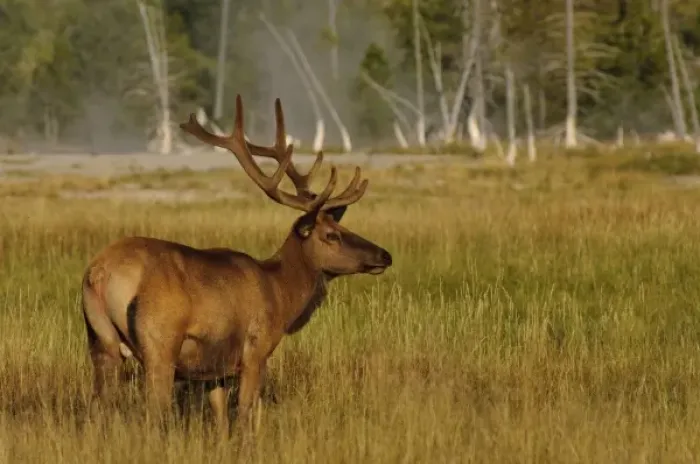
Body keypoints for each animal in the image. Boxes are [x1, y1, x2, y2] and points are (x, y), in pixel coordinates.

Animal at [80, 94, 393, 438]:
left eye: (343, 227)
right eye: (331, 235)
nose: (384, 255)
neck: (281, 293)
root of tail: (99, 273)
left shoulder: (215, 370)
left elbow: (220, 419)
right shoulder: (256, 350)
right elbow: (244, 414)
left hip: (100, 342)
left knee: (95, 409)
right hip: (159, 345)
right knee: (153, 412)